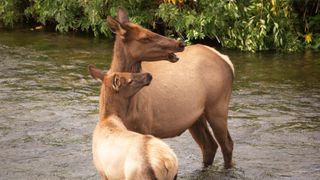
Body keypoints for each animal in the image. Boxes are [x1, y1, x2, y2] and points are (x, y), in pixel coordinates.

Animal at [105, 8, 235, 169]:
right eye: (144, 38)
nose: (180, 44)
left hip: (217, 106)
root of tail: (226, 60)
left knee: (227, 144)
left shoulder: (145, 126)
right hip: (196, 116)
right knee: (209, 145)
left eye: (149, 30)